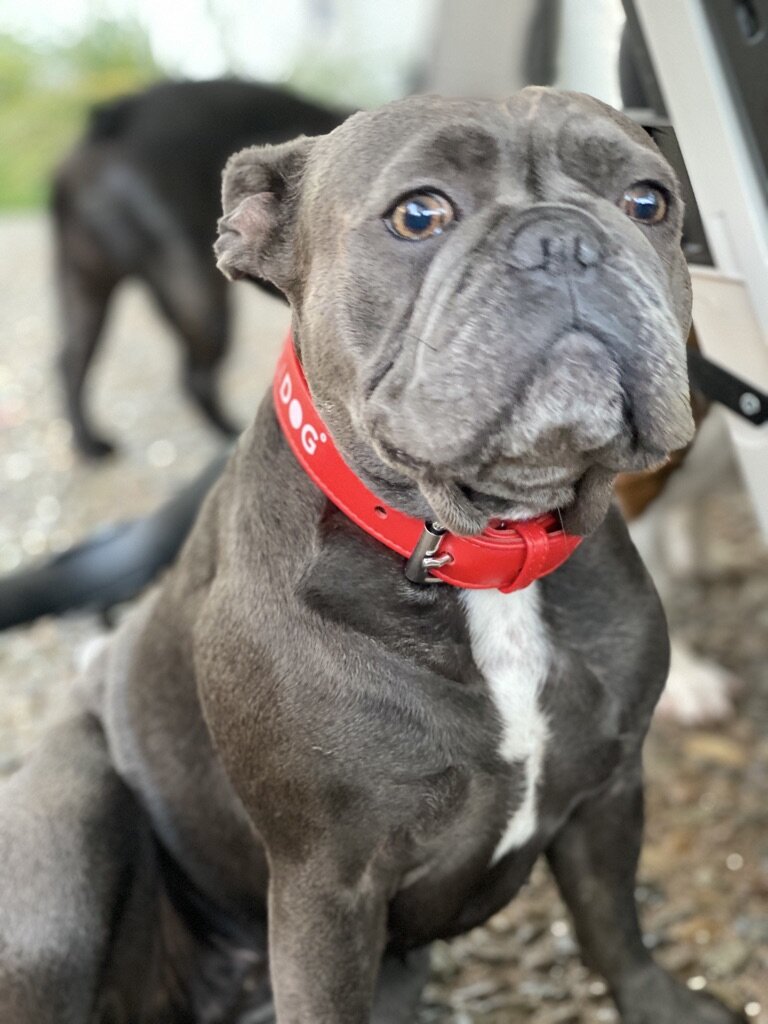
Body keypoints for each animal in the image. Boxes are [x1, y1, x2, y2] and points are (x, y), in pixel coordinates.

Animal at [54, 81, 342, 458]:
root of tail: (112, 123)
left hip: (84, 286)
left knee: (71, 361)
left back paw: (88, 444)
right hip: (200, 299)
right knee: (195, 378)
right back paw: (230, 433)